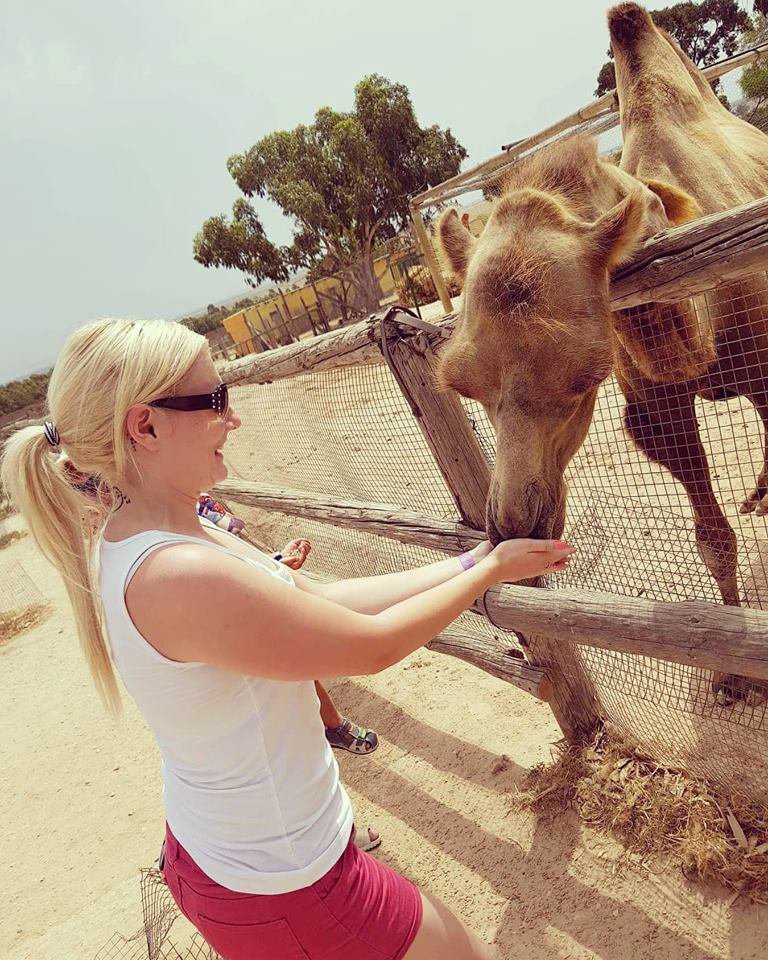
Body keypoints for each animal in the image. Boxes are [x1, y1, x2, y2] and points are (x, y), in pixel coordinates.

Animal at [438, 1, 768, 704]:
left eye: (580, 380)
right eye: (464, 385)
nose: (514, 525)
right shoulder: (657, 407)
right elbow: (710, 538)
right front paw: (733, 673)